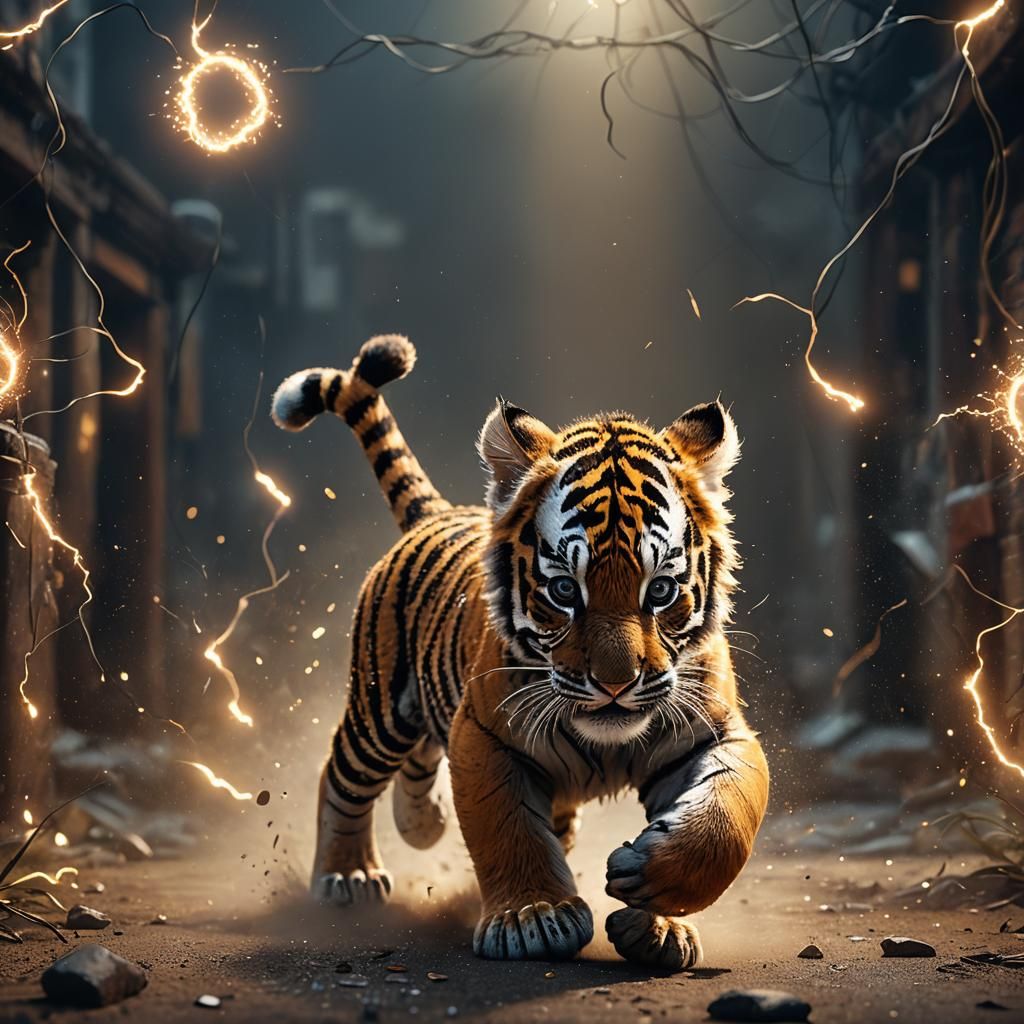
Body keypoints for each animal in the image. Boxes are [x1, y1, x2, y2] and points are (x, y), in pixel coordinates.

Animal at [271, 334, 768, 969]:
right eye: (565, 591)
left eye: (659, 591)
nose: (615, 683)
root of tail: (440, 512)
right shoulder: (484, 735)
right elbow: (507, 829)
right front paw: (533, 919)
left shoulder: (716, 733)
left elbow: (726, 818)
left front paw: (657, 913)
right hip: (381, 707)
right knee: (341, 774)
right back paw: (348, 876)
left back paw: (422, 822)